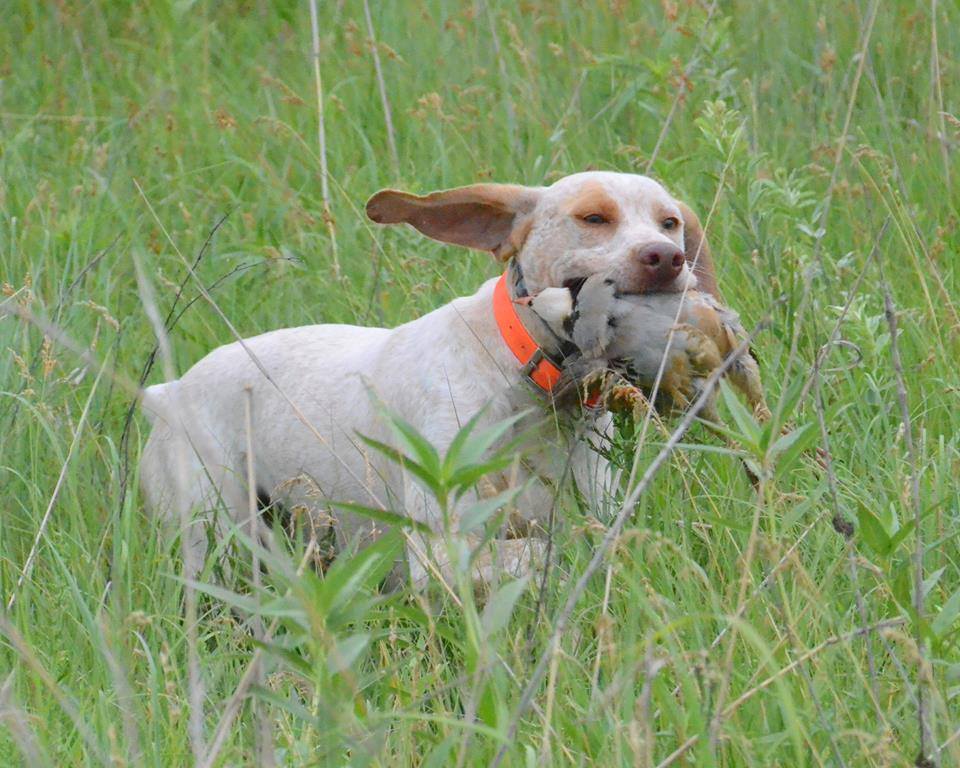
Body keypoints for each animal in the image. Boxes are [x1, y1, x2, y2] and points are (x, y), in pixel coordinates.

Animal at [139, 170, 716, 588]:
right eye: (594, 217)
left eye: (669, 222)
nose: (667, 258)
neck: (526, 382)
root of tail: (169, 391)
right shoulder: (440, 549)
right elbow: (548, 549)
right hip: (211, 529)